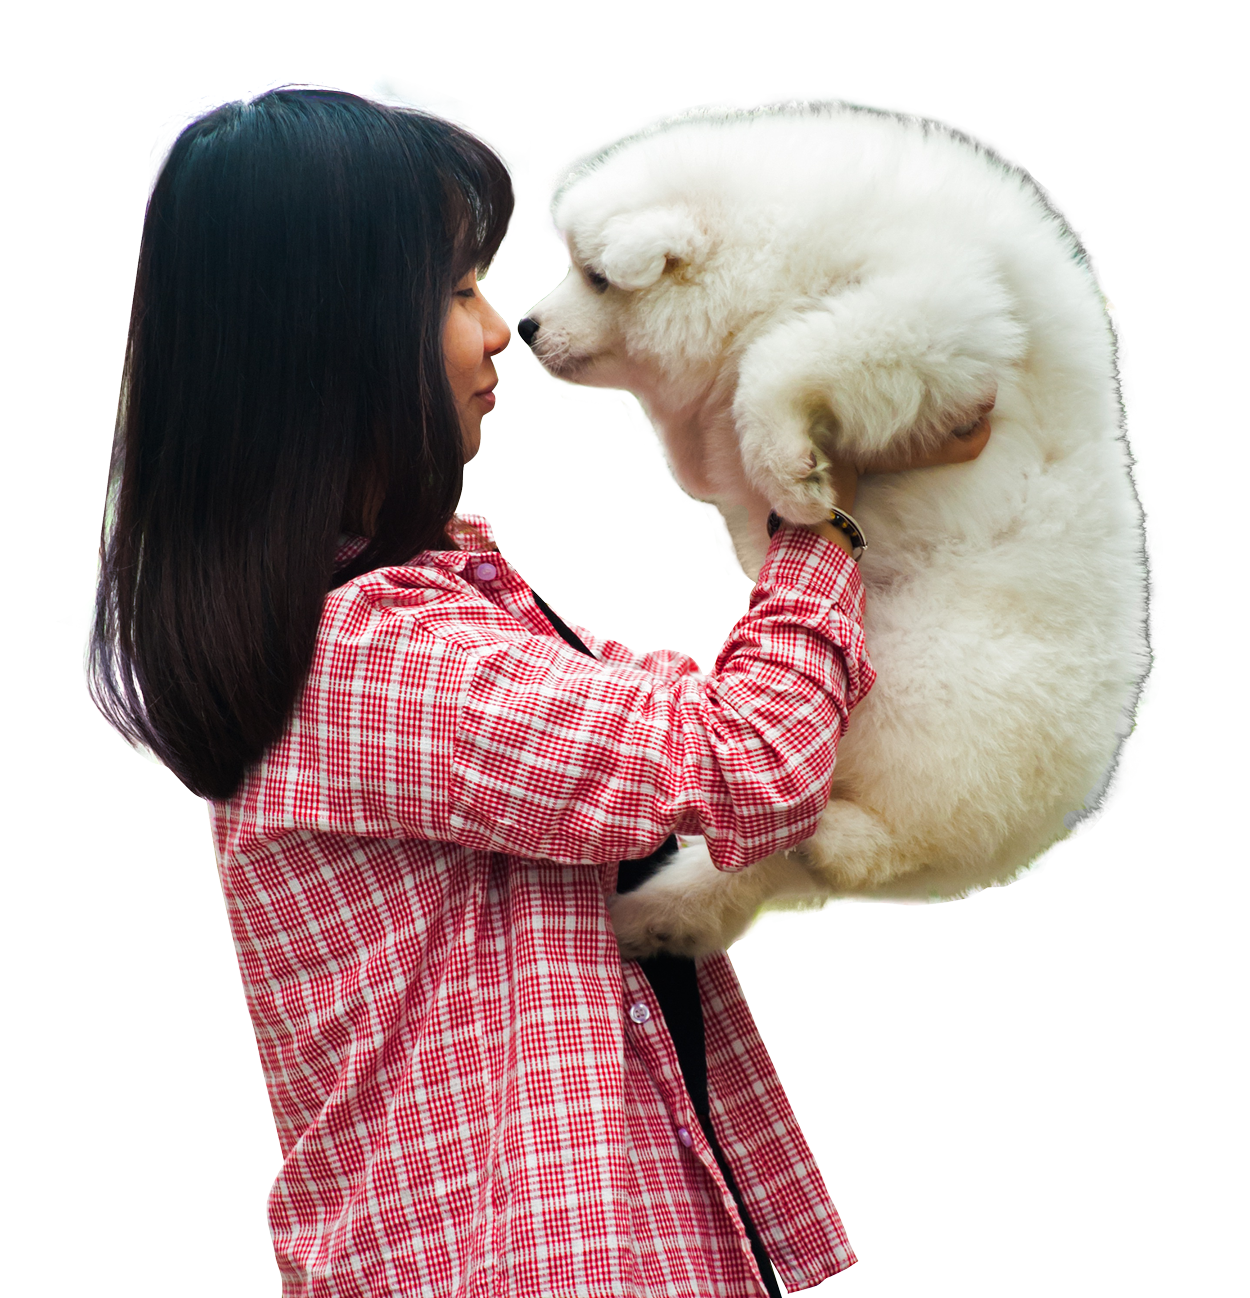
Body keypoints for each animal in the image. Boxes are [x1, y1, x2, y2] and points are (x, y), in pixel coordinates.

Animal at [519, 106, 1152, 960]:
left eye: (595, 277)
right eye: (576, 267)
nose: (525, 326)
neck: (776, 249)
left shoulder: (934, 307)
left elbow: (782, 358)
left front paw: (792, 474)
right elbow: (713, 428)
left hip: (934, 685)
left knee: (906, 833)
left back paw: (835, 838)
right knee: (758, 863)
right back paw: (651, 917)